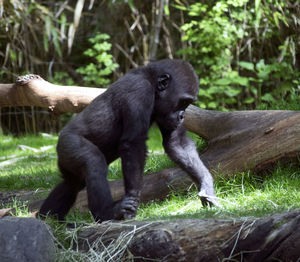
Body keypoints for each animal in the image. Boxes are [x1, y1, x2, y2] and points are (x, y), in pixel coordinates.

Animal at [38, 58, 219, 221]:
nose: (182, 116)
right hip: (68, 143)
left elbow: (176, 143)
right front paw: (132, 198)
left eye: (188, 103)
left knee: (72, 182)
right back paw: (105, 212)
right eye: (183, 102)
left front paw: (206, 185)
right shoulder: (140, 91)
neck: (151, 80)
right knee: (93, 162)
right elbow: (133, 144)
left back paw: (48, 217)